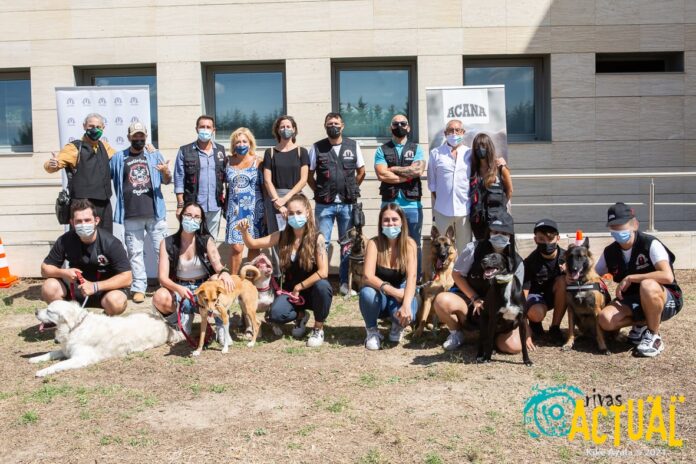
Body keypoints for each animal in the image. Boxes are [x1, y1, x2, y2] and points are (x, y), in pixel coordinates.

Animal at [29, 300, 182, 376]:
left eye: (49, 311)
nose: (35, 311)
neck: (76, 327)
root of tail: (159, 319)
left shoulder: (81, 358)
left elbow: (58, 364)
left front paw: (43, 371)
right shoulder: (66, 349)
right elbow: (51, 353)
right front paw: (35, 359)